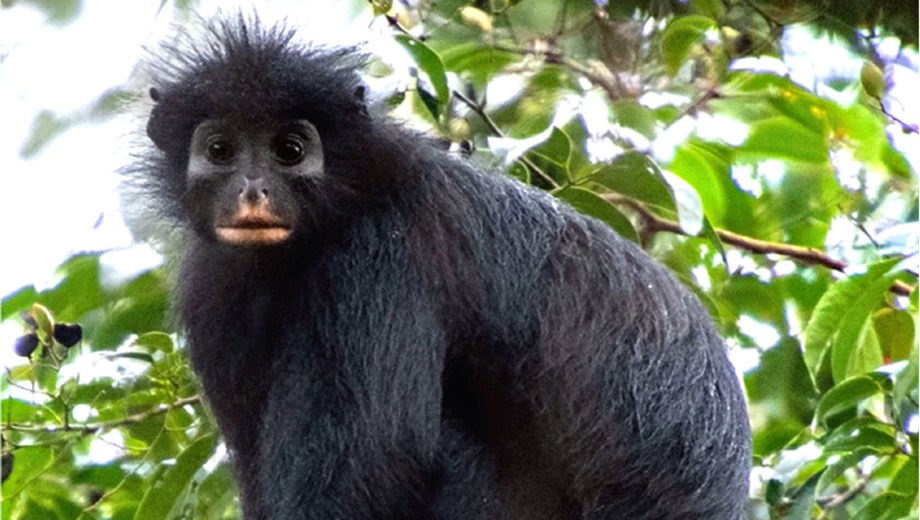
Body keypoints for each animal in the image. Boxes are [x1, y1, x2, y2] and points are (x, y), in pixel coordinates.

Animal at [130, 15, 751, 520]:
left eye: (289, 150)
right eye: (220, 151)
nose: (253, 190)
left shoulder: (381, 255)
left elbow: (376, 462)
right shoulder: (213, 287)